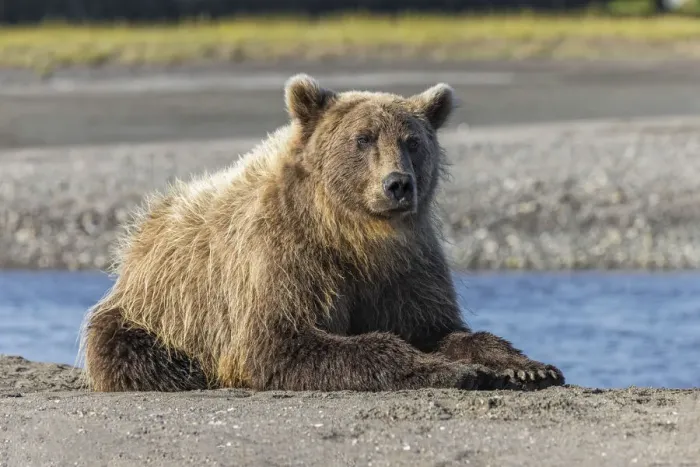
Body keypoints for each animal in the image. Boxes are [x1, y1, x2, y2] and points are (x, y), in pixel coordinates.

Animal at [79, 74, 565, 393]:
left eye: (412, 141)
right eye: (363, 138)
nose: (398, 184)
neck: (354, 234)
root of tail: (147, 226)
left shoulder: (405, 267)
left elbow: (438, 327)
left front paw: (526, 366)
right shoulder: (285, 259)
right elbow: (282, 343)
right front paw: (453, 371)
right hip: (156, 310)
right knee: (130, 350)